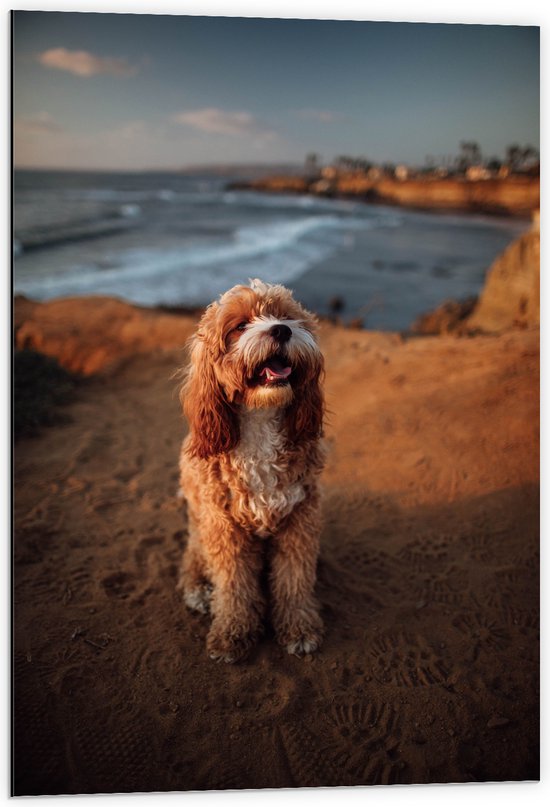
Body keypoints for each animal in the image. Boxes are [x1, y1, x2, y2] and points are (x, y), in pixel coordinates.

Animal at [177, 278, 326, 664]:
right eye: (240, 326)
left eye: (286, 316)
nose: (281, 330)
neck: (260, 421)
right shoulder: (223, 526)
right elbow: (233, 586)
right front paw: (232, 633)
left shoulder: (299, 520)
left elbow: (294, 579)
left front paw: (299, 628)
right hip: (200, 527)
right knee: (193, 558)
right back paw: (199, 590)